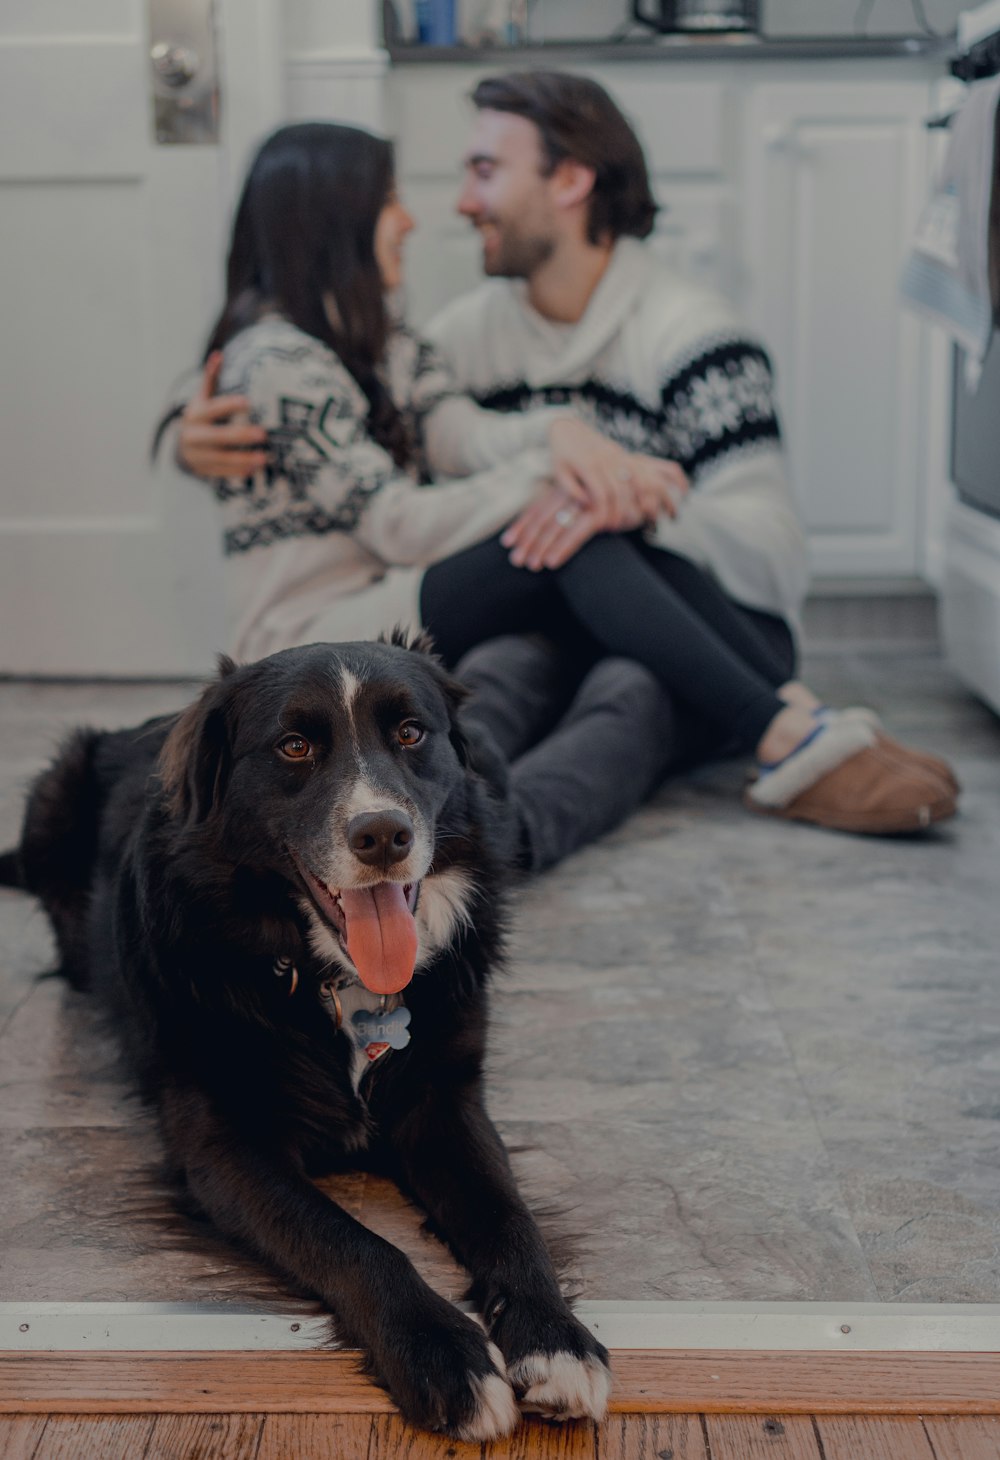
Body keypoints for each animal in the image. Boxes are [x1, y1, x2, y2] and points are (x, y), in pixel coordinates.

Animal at [1, 636, 607, 1436]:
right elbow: (350, 1241)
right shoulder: (226, 1148)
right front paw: (444, 1354)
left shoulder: (443, 1100)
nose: (382, 835)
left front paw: (555, 1339)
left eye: (411, 733)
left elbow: (509, 1215)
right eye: (293, 746)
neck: (336, 982)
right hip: (54, 791)